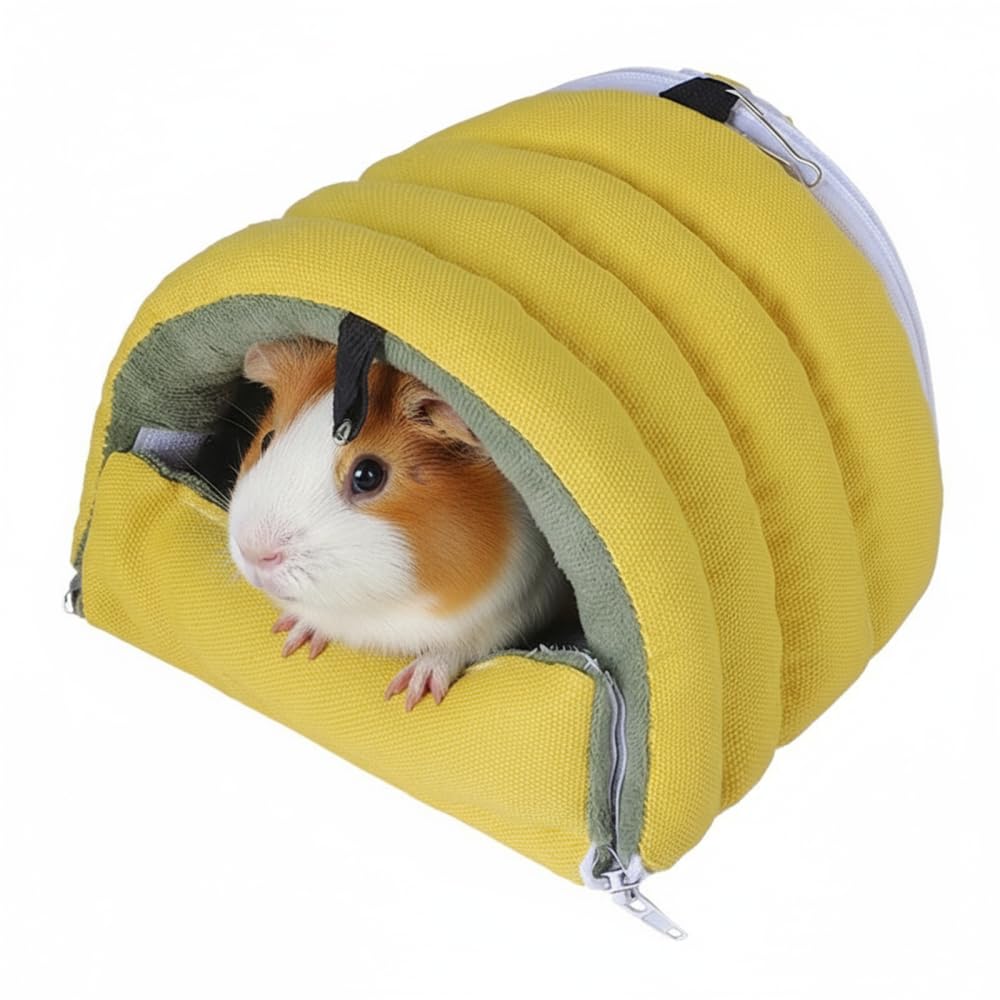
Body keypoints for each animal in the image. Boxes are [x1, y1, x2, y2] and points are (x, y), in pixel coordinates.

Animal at [226, 337, 572, 710]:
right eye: (267, 440)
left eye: (367, 475)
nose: (254, 551)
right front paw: (296, 637)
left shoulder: (513, 608)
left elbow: (459, 646)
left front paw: (412, 691)